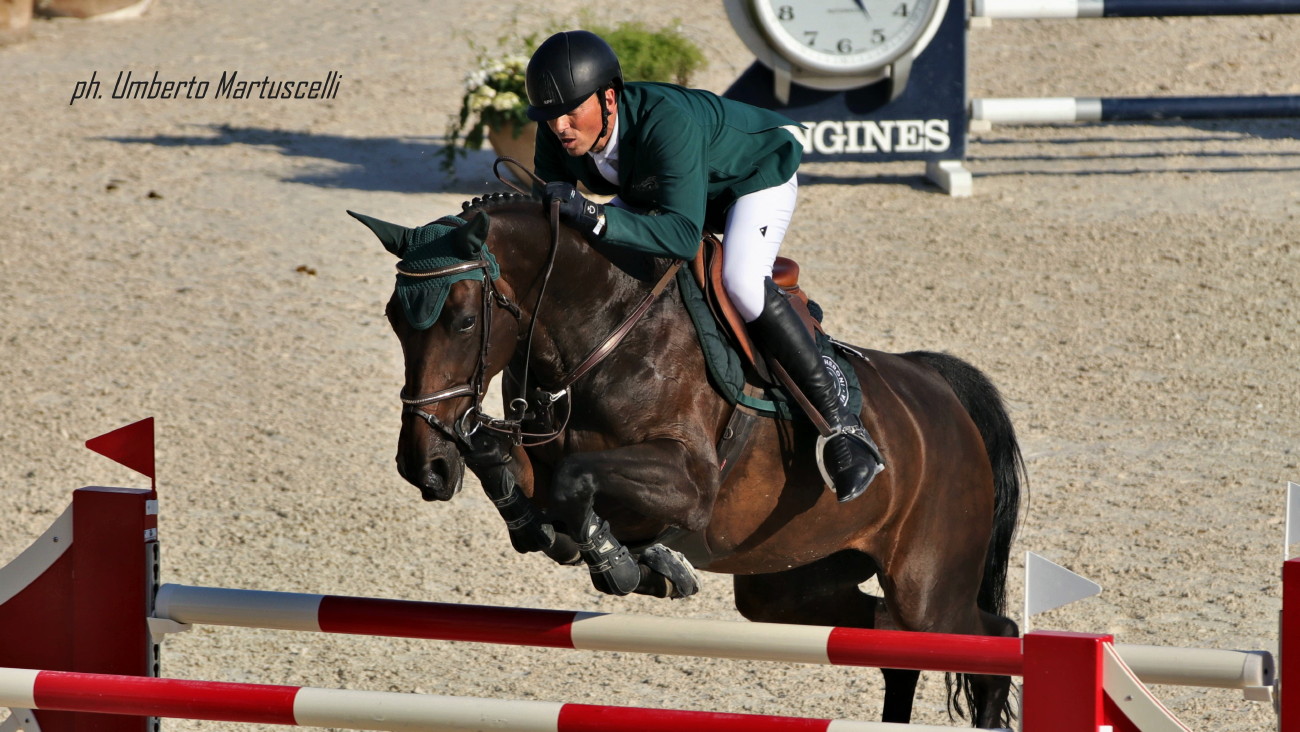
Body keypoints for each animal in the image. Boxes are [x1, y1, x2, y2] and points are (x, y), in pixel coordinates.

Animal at [350, 191, 1025, 727]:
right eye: (393, 319)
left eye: (464, 321)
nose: (421, 465)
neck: (600, 333)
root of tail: (938, 387)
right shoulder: (538, 452)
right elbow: (507, 465)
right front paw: (570, 539)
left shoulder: (690, 484)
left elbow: (575, 482)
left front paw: (619, 561)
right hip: (791, 588)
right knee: (889, 641)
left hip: (928, 592)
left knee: (993, 643)